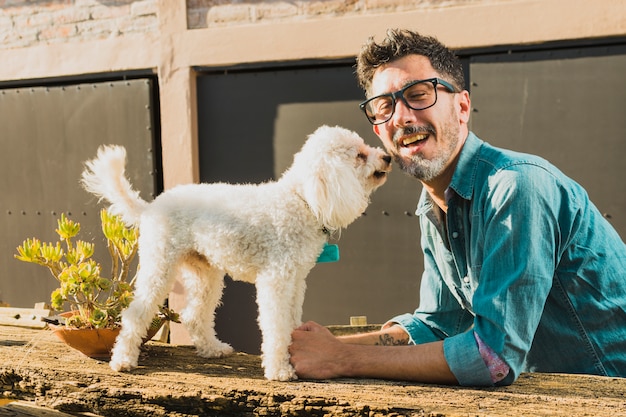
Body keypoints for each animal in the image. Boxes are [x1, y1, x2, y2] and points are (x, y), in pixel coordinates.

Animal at [80, 124, 388, 380]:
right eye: (360, 155)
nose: (386, 157)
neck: (302, 200)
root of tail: (151, 208)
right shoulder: (276, 280)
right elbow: (276, 326)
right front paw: (279, 370)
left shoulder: (295, 281)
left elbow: (290, 323)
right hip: (160, 264)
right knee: (135, 313)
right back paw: (122, 360)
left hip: (205, 273)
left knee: (194, 315)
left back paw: (212, 349)